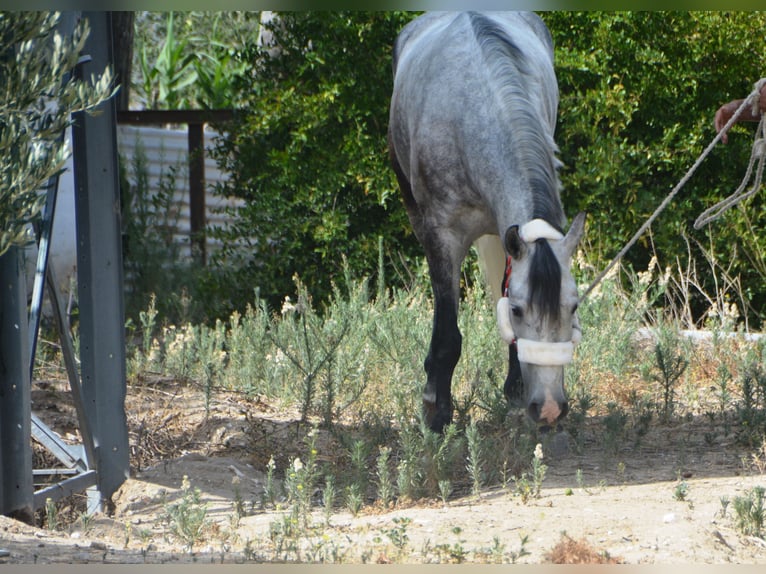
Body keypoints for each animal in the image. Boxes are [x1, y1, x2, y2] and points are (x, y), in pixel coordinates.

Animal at [390, 11, 588, 434]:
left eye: (574, 306)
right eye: (518, 310)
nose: (549, 408)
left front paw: (515, 387)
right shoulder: (442, 238)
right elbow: (448, 336)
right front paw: (436, 413)